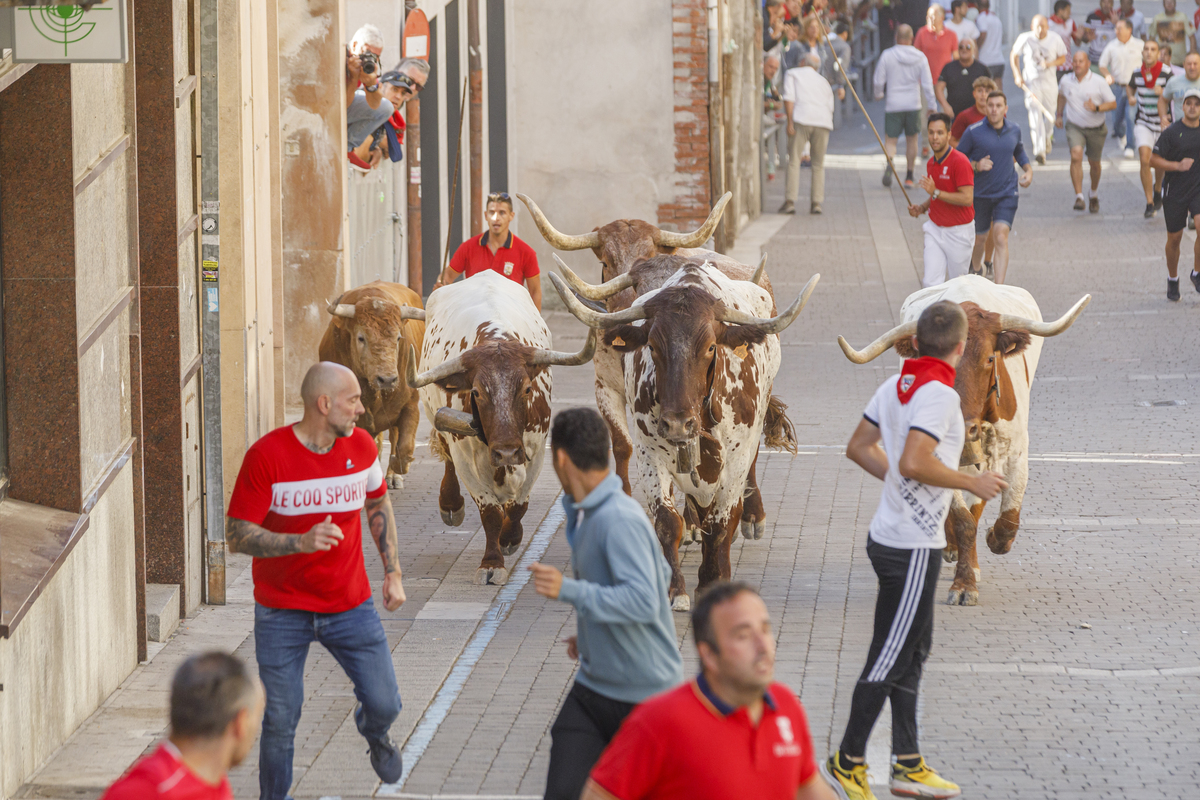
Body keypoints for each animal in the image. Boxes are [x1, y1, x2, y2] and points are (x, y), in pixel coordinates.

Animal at [319, 278, 427, 491]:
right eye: (361, 337)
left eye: (398, 338)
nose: (387, 380)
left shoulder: (411, 405)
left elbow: (404, 448)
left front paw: (397, 467)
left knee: (393, 437)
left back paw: (392, 476)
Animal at [405, 272, 597, 585]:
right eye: (476, 392)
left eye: (527, 388)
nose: (506, 451)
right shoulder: (465, 454)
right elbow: (490, 512)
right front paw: (492, 563)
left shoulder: (536, 451)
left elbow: (519, 505)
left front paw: (510, 538)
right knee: (446, 460)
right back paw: (451, 505)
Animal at [549, 260, 816, 609]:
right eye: (651, 346)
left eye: (711, 347)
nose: (677, 424)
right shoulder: (650, 455)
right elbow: (668, 520)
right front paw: (675, 589)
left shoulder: (735, 462)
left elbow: (721, 523)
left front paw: (712, 579)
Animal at [835, 275, 1089, 606]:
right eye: (934, 362)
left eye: (990, 358)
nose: (965, 427)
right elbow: (962, 518)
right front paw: (964, 583)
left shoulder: (1016, 451)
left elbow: (1006, 517)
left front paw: (993, 541)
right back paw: (951, 547)